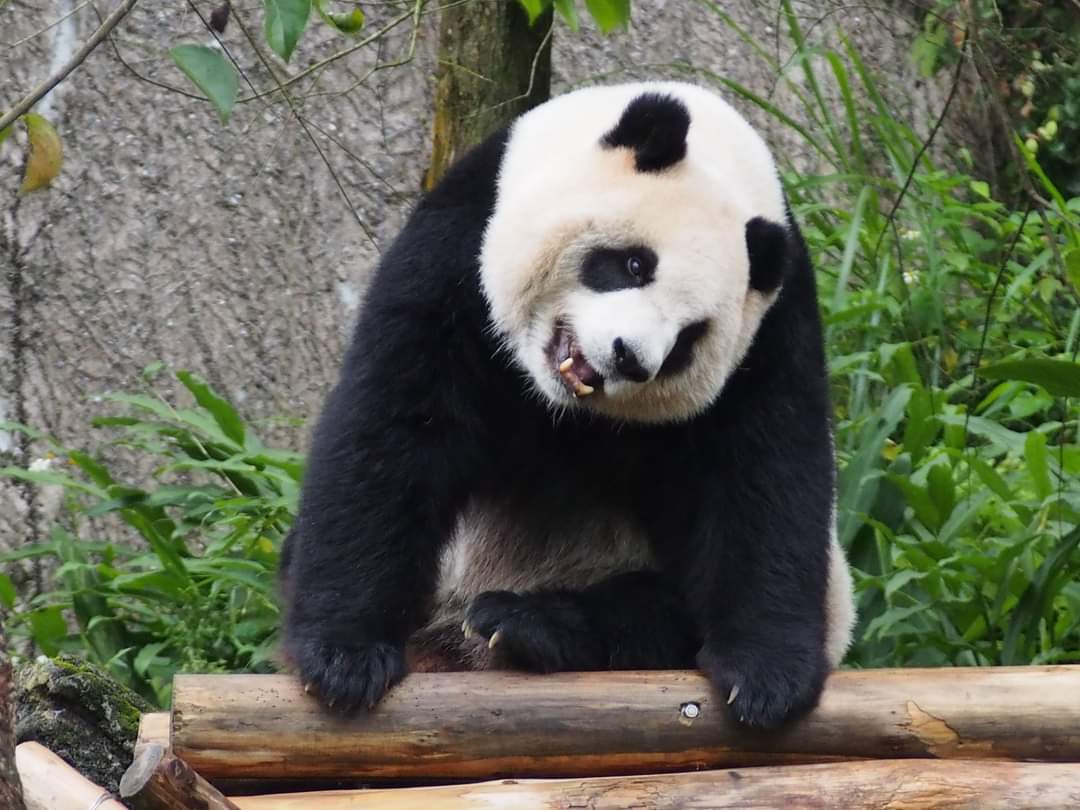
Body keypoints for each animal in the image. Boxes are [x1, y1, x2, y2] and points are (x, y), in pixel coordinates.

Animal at [280, 81, 856, 730]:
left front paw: (765, 676)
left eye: (689, 338)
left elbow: (765, 468)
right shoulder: (459, 245)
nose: (630, 358)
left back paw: (526, 625)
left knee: (653, 614)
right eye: (635, 264)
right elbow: (399, 424)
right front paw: (344, 658)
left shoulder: (776, 324)